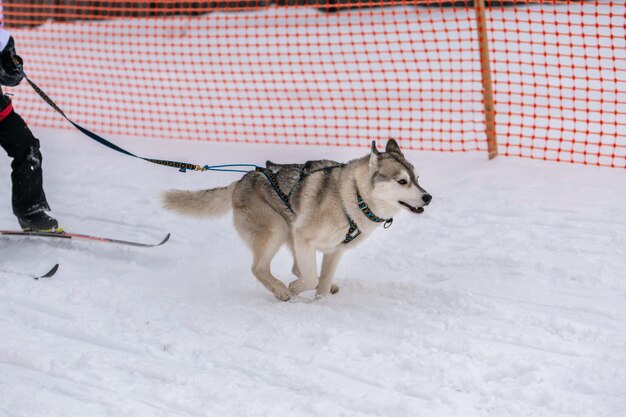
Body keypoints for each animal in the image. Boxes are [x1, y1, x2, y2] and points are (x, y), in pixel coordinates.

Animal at [163, 139, 432, 300]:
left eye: (417, 178)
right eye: (402, 181)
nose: (428, 197)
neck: (354, 196)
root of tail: (242, 180)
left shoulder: (334, 251)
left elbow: (321, 281)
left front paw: (320, 300)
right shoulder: (304, 238)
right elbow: (311, 278)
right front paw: (295, 288)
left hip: (289, 229)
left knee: (295, 267)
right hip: (278, 228)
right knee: (259, 268)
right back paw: (281, 290)